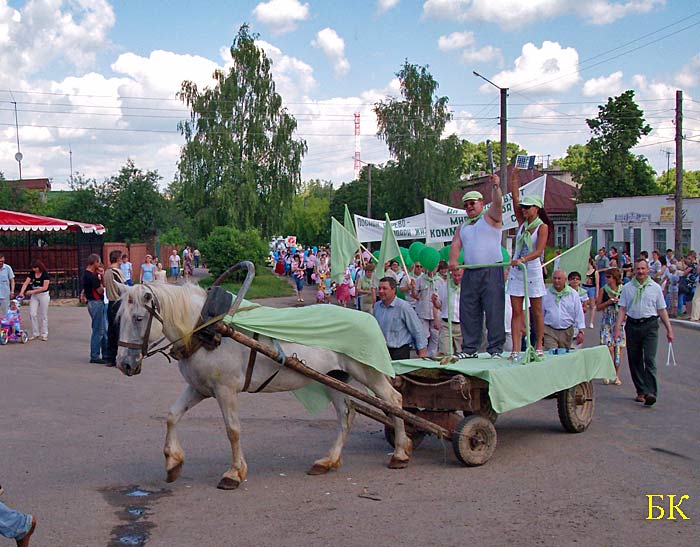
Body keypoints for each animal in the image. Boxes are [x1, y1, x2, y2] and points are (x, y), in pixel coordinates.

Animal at [114, 284, 410, 490]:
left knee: (393, 401)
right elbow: (172, 415)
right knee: (346, 415)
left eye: (138, 318)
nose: (124, 364)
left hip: (367, 372)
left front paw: (234, 473)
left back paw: (400, 453)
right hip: (336, 378)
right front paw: (173, 462)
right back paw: (328, 461)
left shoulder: (225, 390)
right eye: (119, 318)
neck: (208, 330)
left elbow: (233, 430)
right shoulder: (199, 388)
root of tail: (367, 317)